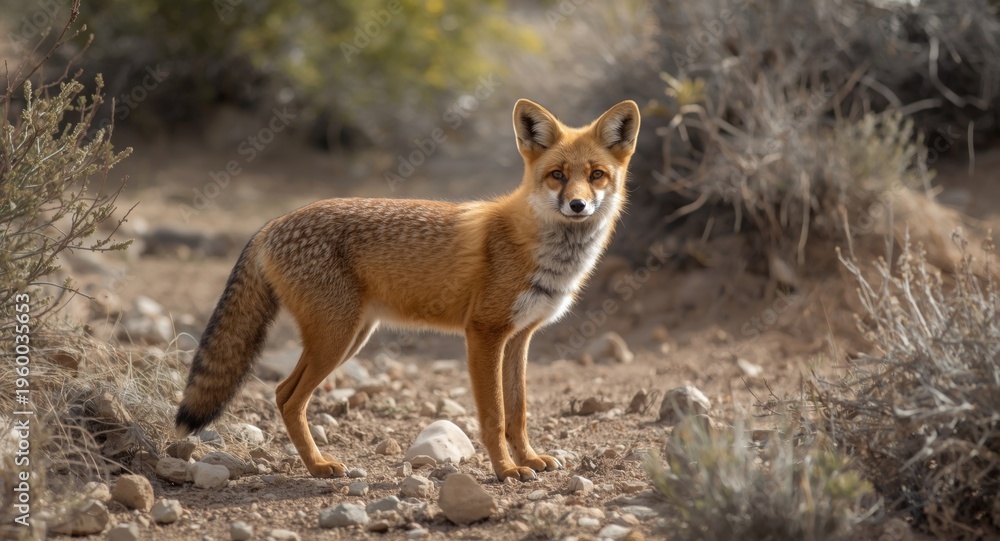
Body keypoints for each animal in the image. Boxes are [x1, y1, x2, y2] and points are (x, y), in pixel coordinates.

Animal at [176, 99, 640, 481]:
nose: (577, 205)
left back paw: (316, 464)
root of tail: (272, 223)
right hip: (336, 339)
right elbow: (493, 417)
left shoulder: (519, 337)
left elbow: (518, 411)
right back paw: (319, 467)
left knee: (281, 393)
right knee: (288, 398)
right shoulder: (484, 333)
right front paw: (506, 470)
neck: (541, 249)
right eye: (557, 176)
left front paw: (527, 459)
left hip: (350, 337)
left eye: (596, 176)